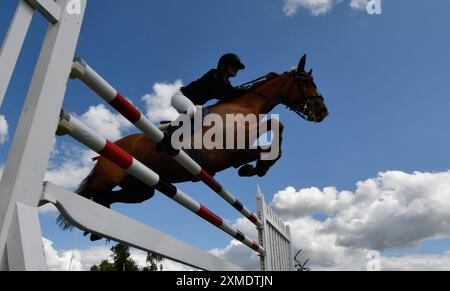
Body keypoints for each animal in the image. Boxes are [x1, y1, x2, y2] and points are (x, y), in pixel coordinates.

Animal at [59, 54, 326, 233]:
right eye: (304, 82)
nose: (323, 111)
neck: (242, 108)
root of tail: (112, 147)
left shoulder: (238, 152)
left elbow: (271, 135)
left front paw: (257, 167)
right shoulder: (229, 150)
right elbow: (271, 132)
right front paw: (258, 166)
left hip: (142, 187)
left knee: (110, 198)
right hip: (109, 176)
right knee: (93, 192)